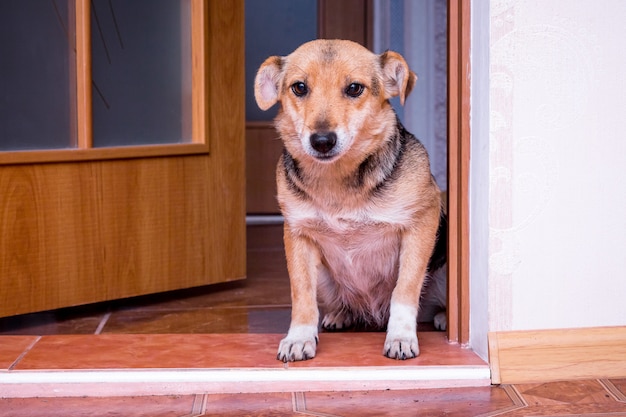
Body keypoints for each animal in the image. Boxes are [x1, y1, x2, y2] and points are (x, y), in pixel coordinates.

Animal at [251, 38, 446, 360]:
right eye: (299, 87)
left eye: (354, 88)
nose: (322, 141)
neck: (337, 181)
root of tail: (374, 314)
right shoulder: (298, 235)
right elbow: (301, 295)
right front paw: (299, 337)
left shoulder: (422, 221)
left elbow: (405, 289)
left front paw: (401, 337)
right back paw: (341, 314)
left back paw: (442, 316)